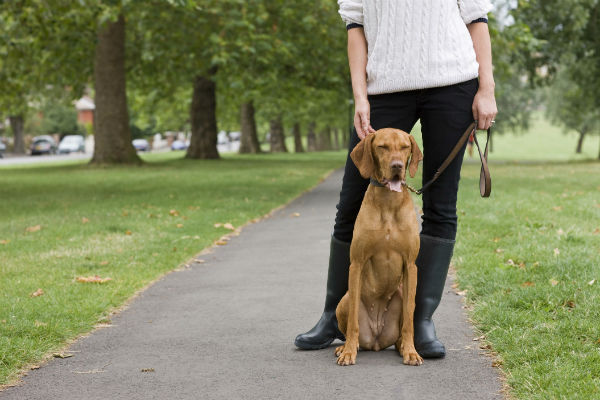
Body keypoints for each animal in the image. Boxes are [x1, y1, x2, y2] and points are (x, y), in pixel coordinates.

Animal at [336, 128, 424, 366]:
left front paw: (411, 351)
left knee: (402, 327)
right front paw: (349, 352)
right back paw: (345, 346)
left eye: (404, 147)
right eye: (382, 147)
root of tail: (376, 340)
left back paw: (403, 347)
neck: (388, 203)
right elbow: (353, 323)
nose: (397, 166)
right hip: (344, 300)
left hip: (402, 295)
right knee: (350, 324)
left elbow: (409, 321)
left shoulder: (411, 266)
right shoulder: (356, 263)